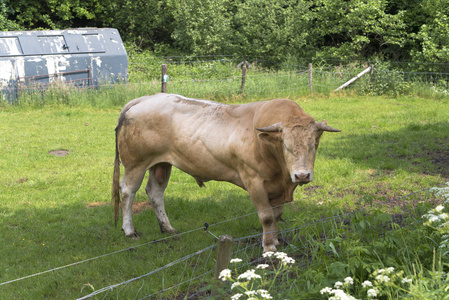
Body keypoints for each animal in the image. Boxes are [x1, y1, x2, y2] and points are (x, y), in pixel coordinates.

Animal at [112, 93, 340, 251]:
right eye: (286, 145)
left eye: (314, 144)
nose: (302, 175)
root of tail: (146, 98)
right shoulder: (254, 181)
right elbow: (266, 217)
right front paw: (268, 247)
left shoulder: (278, 187)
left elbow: (277, 215)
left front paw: (275, 240)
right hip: (135, 163)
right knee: (128, 192)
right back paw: (129, 230)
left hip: (161, 163)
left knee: (155, 193)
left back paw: (167, 228)